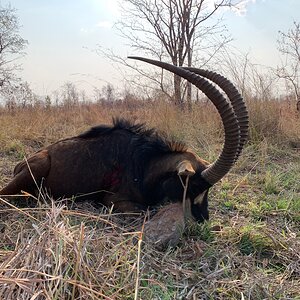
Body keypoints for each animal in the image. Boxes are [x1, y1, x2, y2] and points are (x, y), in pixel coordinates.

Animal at [0, 56, 248, 223]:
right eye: (193, 186)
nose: (204, 218)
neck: (145, 166)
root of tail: (20, 164)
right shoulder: (114, 201)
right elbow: (147, 210)